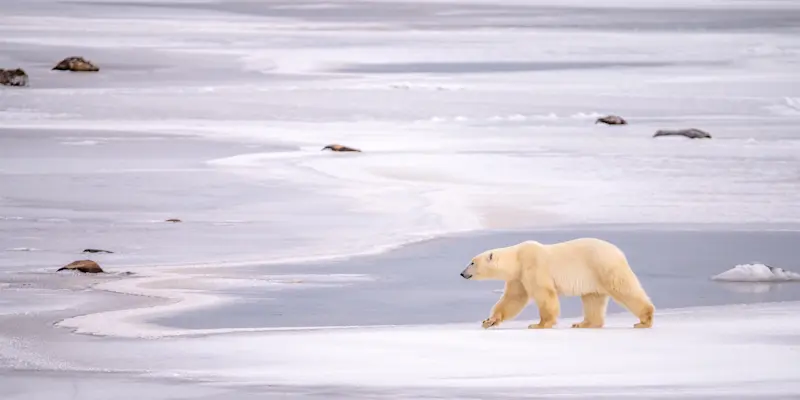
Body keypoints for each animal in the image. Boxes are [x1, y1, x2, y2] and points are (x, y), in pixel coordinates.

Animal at [460, 238, 654, 329]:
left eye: (472, 262)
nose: (462, 273)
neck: (518, 258)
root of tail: (619, 252)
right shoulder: (519, 277)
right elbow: (514, 298)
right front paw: (489, 321)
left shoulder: (533, 266)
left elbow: (544, 293)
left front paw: (539, 324)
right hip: (593, 277)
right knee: (592, 299)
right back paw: (582, 324)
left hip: (604, 266)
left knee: (623, 288)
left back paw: (644, 320)